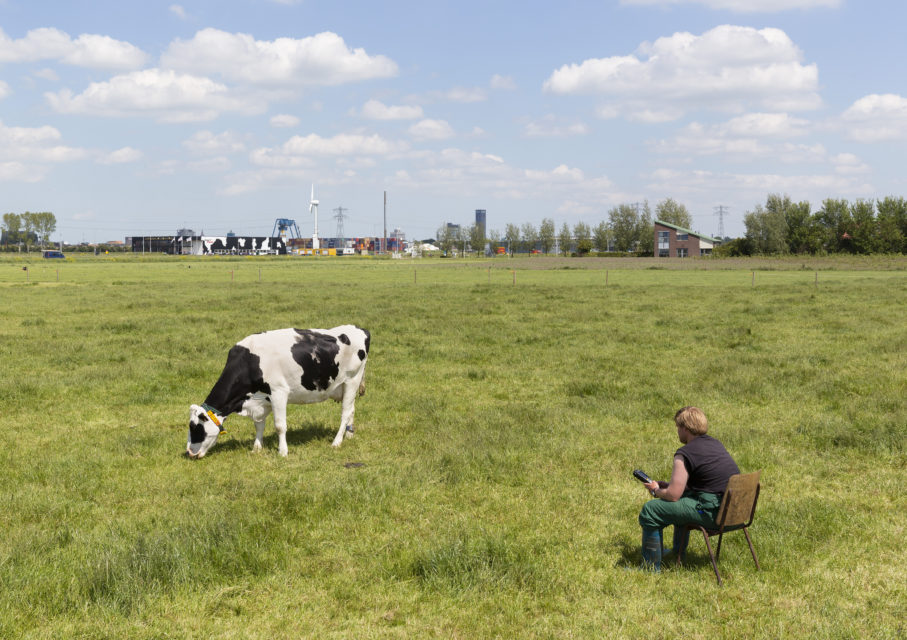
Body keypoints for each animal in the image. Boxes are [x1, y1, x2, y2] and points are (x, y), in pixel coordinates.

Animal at [186, 324, 370, 460]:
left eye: (196, 428)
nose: (189, 453)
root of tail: (360, 329)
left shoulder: (278, 392)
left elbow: (280, 426)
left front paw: (283, 451)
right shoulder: (261, 399)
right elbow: (259, 424)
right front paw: (257, 447)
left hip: (352, 380)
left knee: (345, 412)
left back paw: (337, 442)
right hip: (345, 387)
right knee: (352, 409)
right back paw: (349, 435)